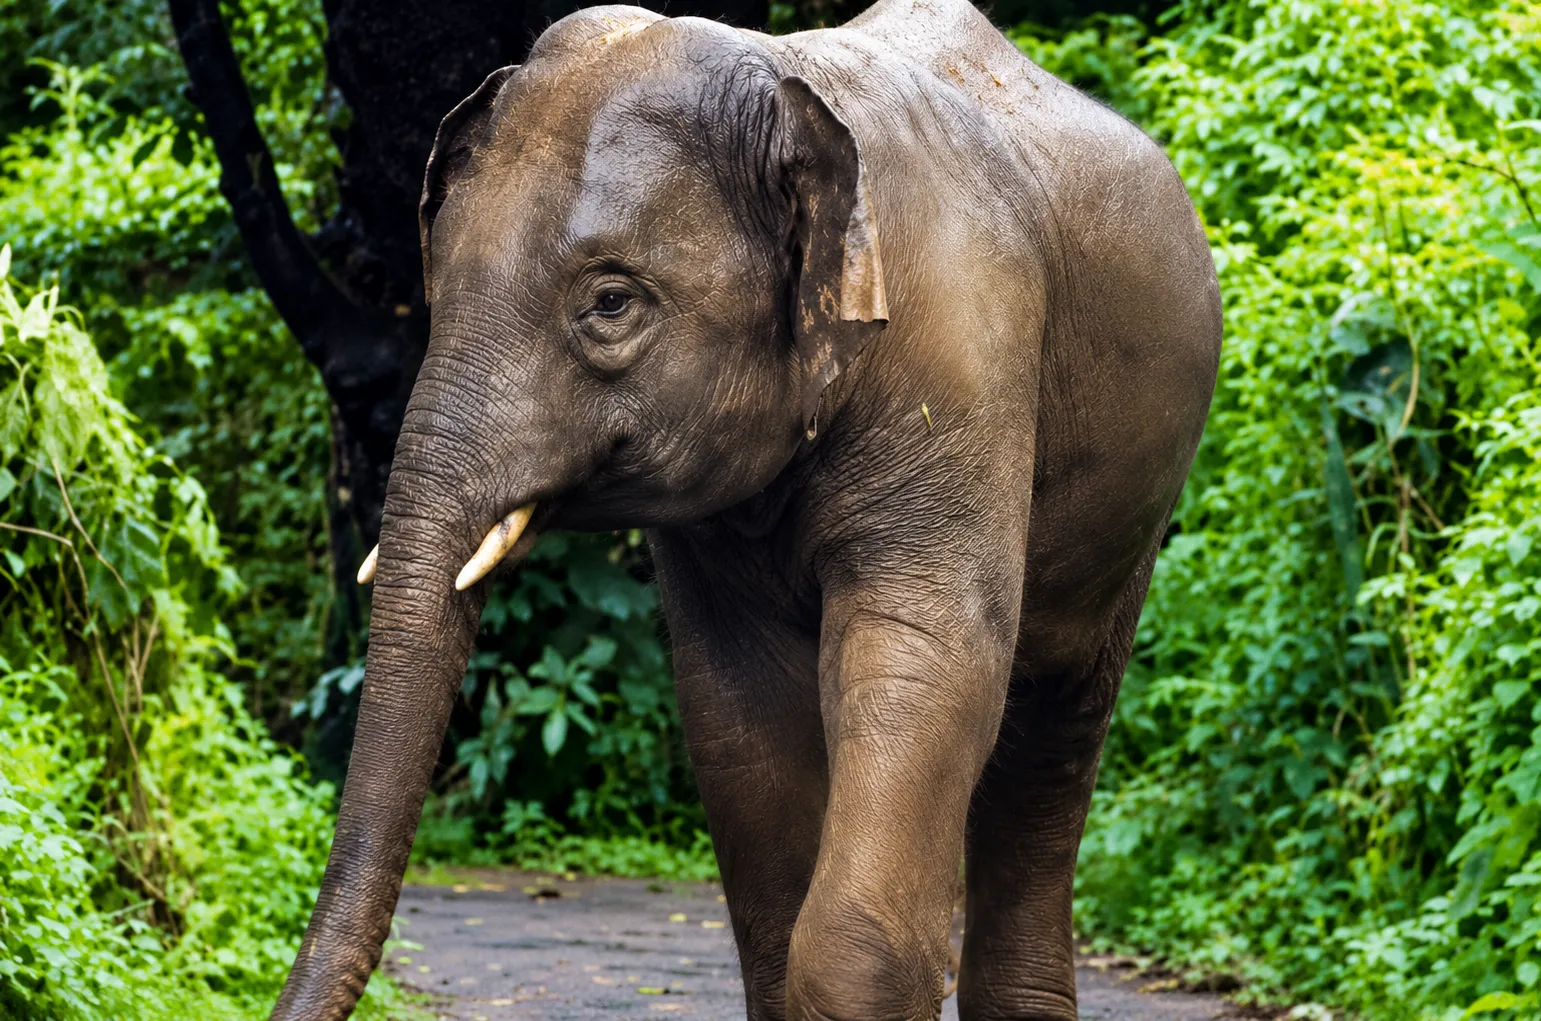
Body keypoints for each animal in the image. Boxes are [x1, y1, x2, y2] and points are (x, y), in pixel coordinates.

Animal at [270, 0, 1221, 1017]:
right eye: (435, 289)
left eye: (611, 302)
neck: (781, 88)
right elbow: (740, 715)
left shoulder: (966, 356)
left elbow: (927, 658)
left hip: (1140, 503)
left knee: (1055, 727)